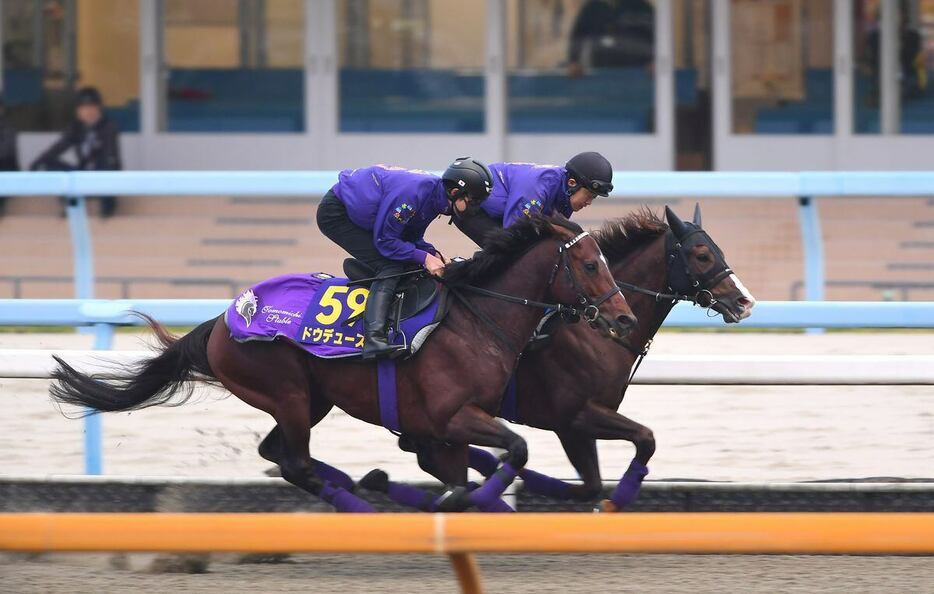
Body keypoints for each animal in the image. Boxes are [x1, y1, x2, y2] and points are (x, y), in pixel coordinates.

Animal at [49, 215, 636, 512]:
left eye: (608, 261)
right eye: (590, 265)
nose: (625, 318)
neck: (477, 318)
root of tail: (224, 318)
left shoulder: (446, 428)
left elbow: (471, 469)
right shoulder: (452, 416)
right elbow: (512, 450)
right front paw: (465, 499)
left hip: (310, 399)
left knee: (281, 455)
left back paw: (361, 486)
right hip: (285, 391)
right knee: (296, 463)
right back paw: (361, 502)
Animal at [366, 204, 760, 508]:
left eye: (717, 250)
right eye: (702, 254)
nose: (745, 301)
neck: (595, 332)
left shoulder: (578, 425)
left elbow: (591, 485)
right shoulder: (573, 415)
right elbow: (643, 440)